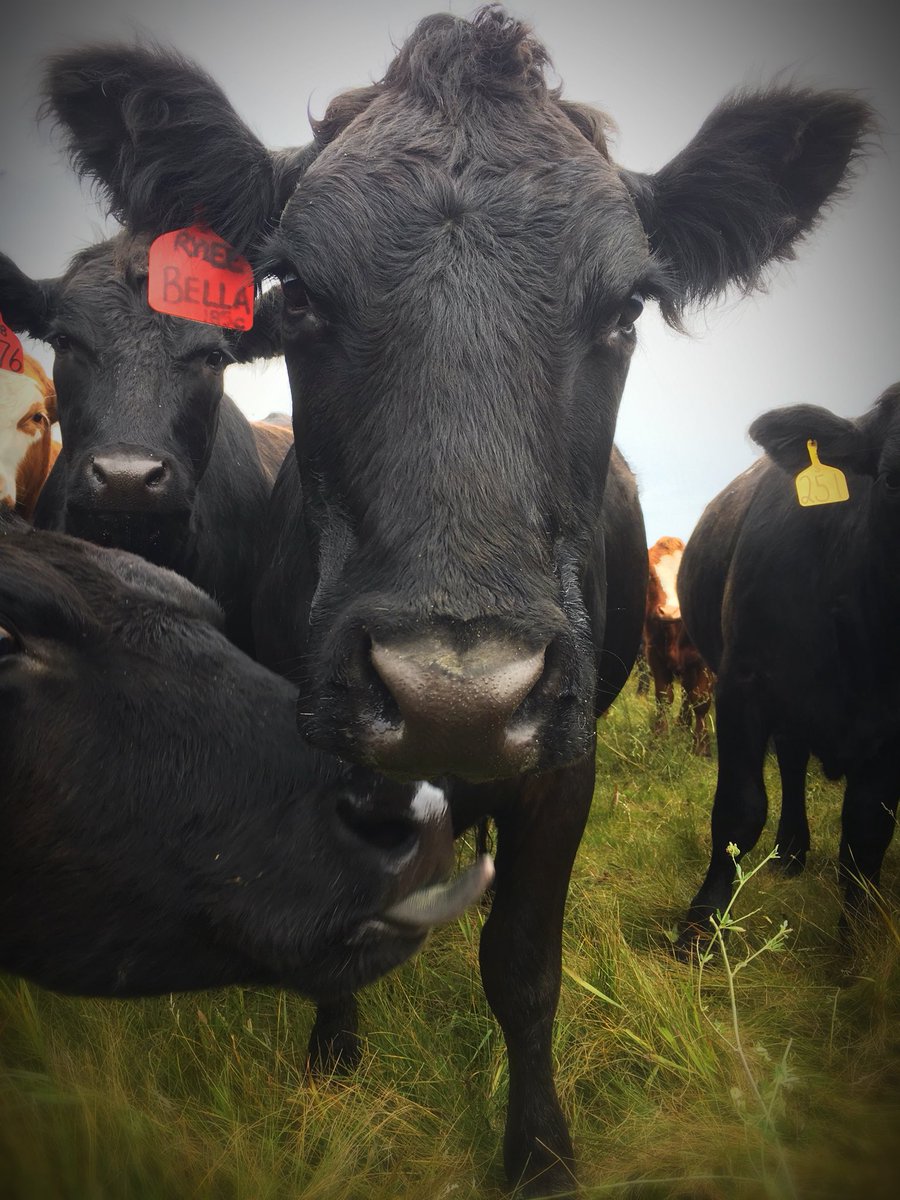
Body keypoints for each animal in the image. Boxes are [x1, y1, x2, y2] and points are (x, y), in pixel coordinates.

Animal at [643, 535, 714, 755]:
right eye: (650, 574)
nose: (669, 611)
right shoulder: (654, 655)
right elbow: (664, 697)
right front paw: (658, 739)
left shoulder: (703, 664)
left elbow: (701, 701)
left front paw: (701, 747)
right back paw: (682, 725)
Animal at [677, 384, 900, 945]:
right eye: (892, 479)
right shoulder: (744, 685)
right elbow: (739, 808)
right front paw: (702, 924)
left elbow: (867, 833)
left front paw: (857, 941)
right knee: (793, 762)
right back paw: (790, 850)